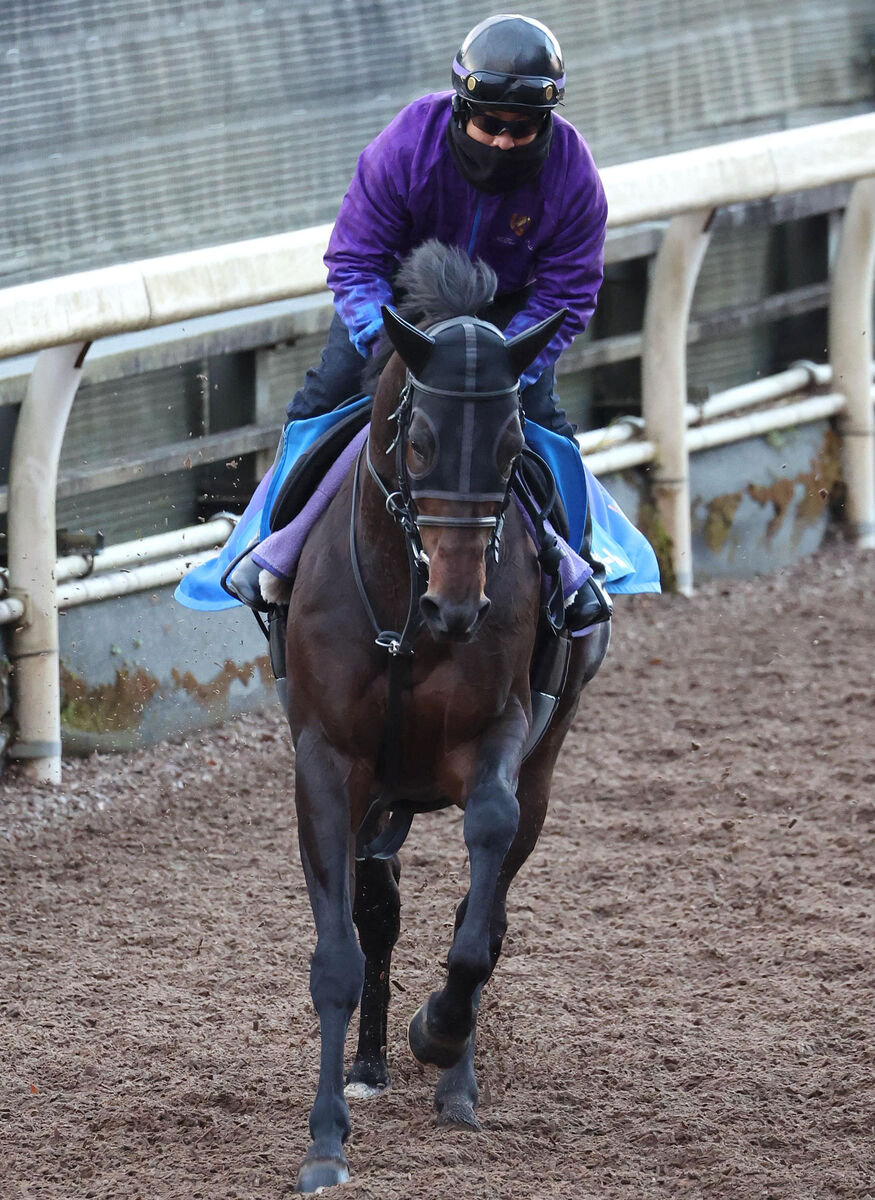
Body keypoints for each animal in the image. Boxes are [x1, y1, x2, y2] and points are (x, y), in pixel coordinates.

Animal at [282, 243, 607, 1190]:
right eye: (420, 441)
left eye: (511, 449)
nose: (459, 605)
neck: (406, 617)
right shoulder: (326, 763)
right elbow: (339, 951)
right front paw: (326, 1138)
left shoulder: (497, 737)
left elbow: (476, 911)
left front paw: (439, 1031)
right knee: (380, 905)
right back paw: (369, 1063)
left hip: (542, 760)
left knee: (483, 907)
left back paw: (453, 1081)